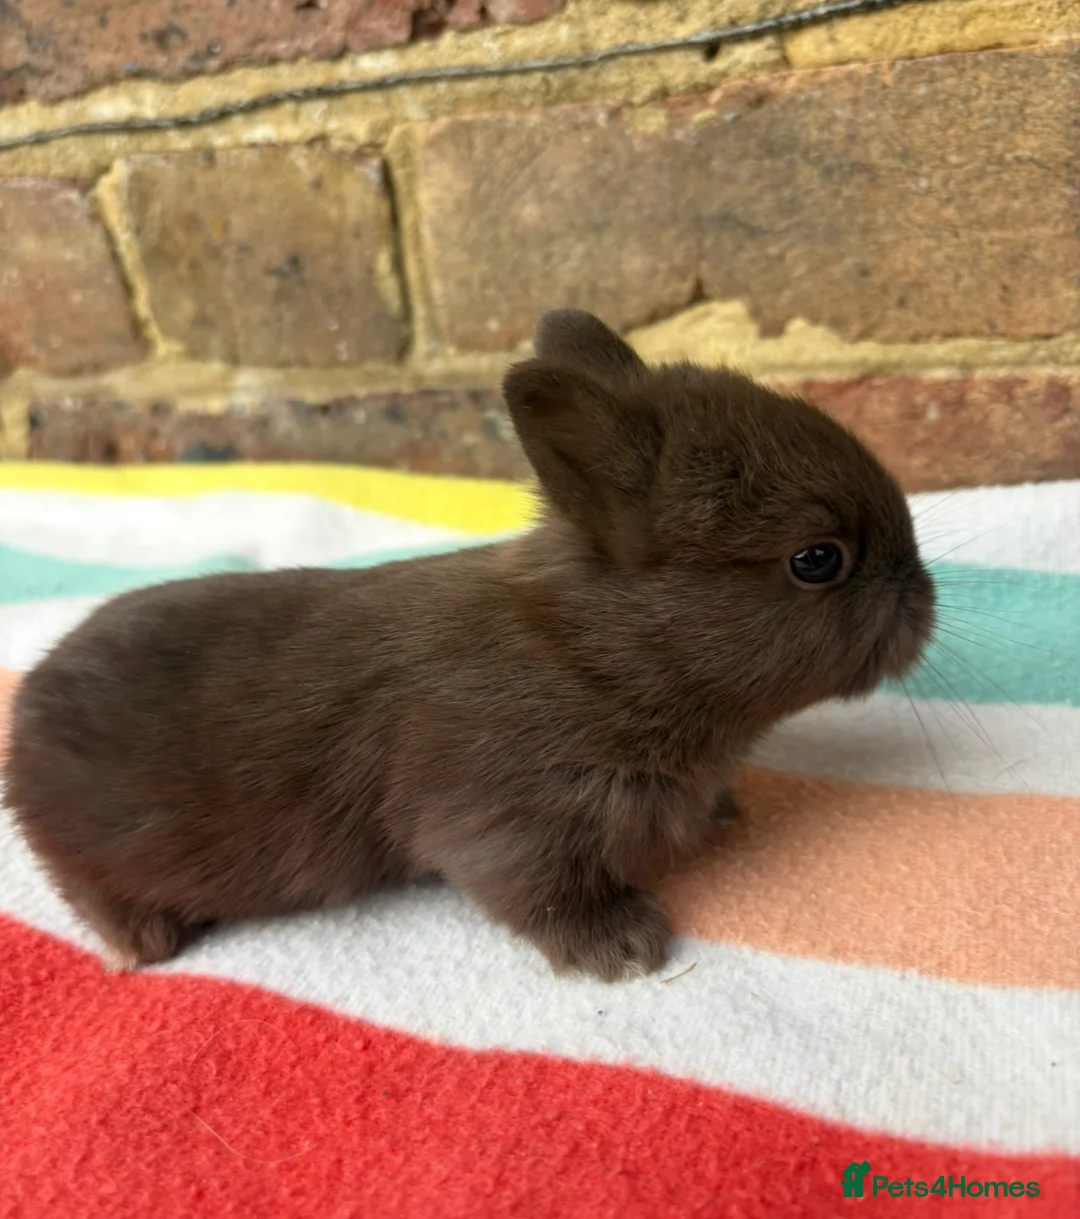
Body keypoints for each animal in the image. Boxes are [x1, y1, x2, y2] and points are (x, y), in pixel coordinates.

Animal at [2, 309, 935, 982]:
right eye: (817, 559)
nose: (925, 597)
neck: (594, 654)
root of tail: (27, 715)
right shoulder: (506, 819)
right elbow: (540, 893)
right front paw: (626, 947)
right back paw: (143, 941)